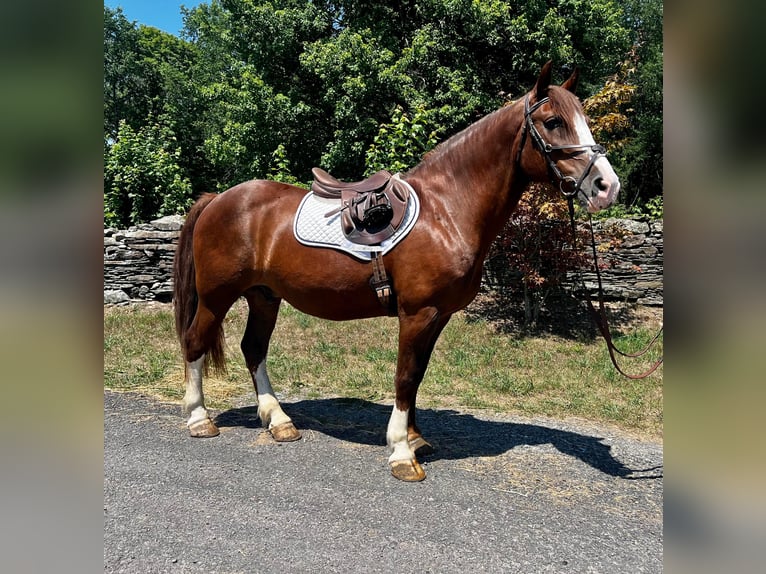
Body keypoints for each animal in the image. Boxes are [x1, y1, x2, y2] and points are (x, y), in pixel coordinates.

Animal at [172, 62, 616, 482]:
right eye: (553, 121)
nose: (606, 186)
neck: (446, 210)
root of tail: (218, 199)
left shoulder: (438, 316)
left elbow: (417, 375)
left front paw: (416, 439)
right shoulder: (417, 313)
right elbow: (404, 376)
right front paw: (402, 453)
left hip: (264, 295)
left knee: (254, 349)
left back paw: (279, 421)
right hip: (216, 296)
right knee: (195, 342)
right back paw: (199, 419)